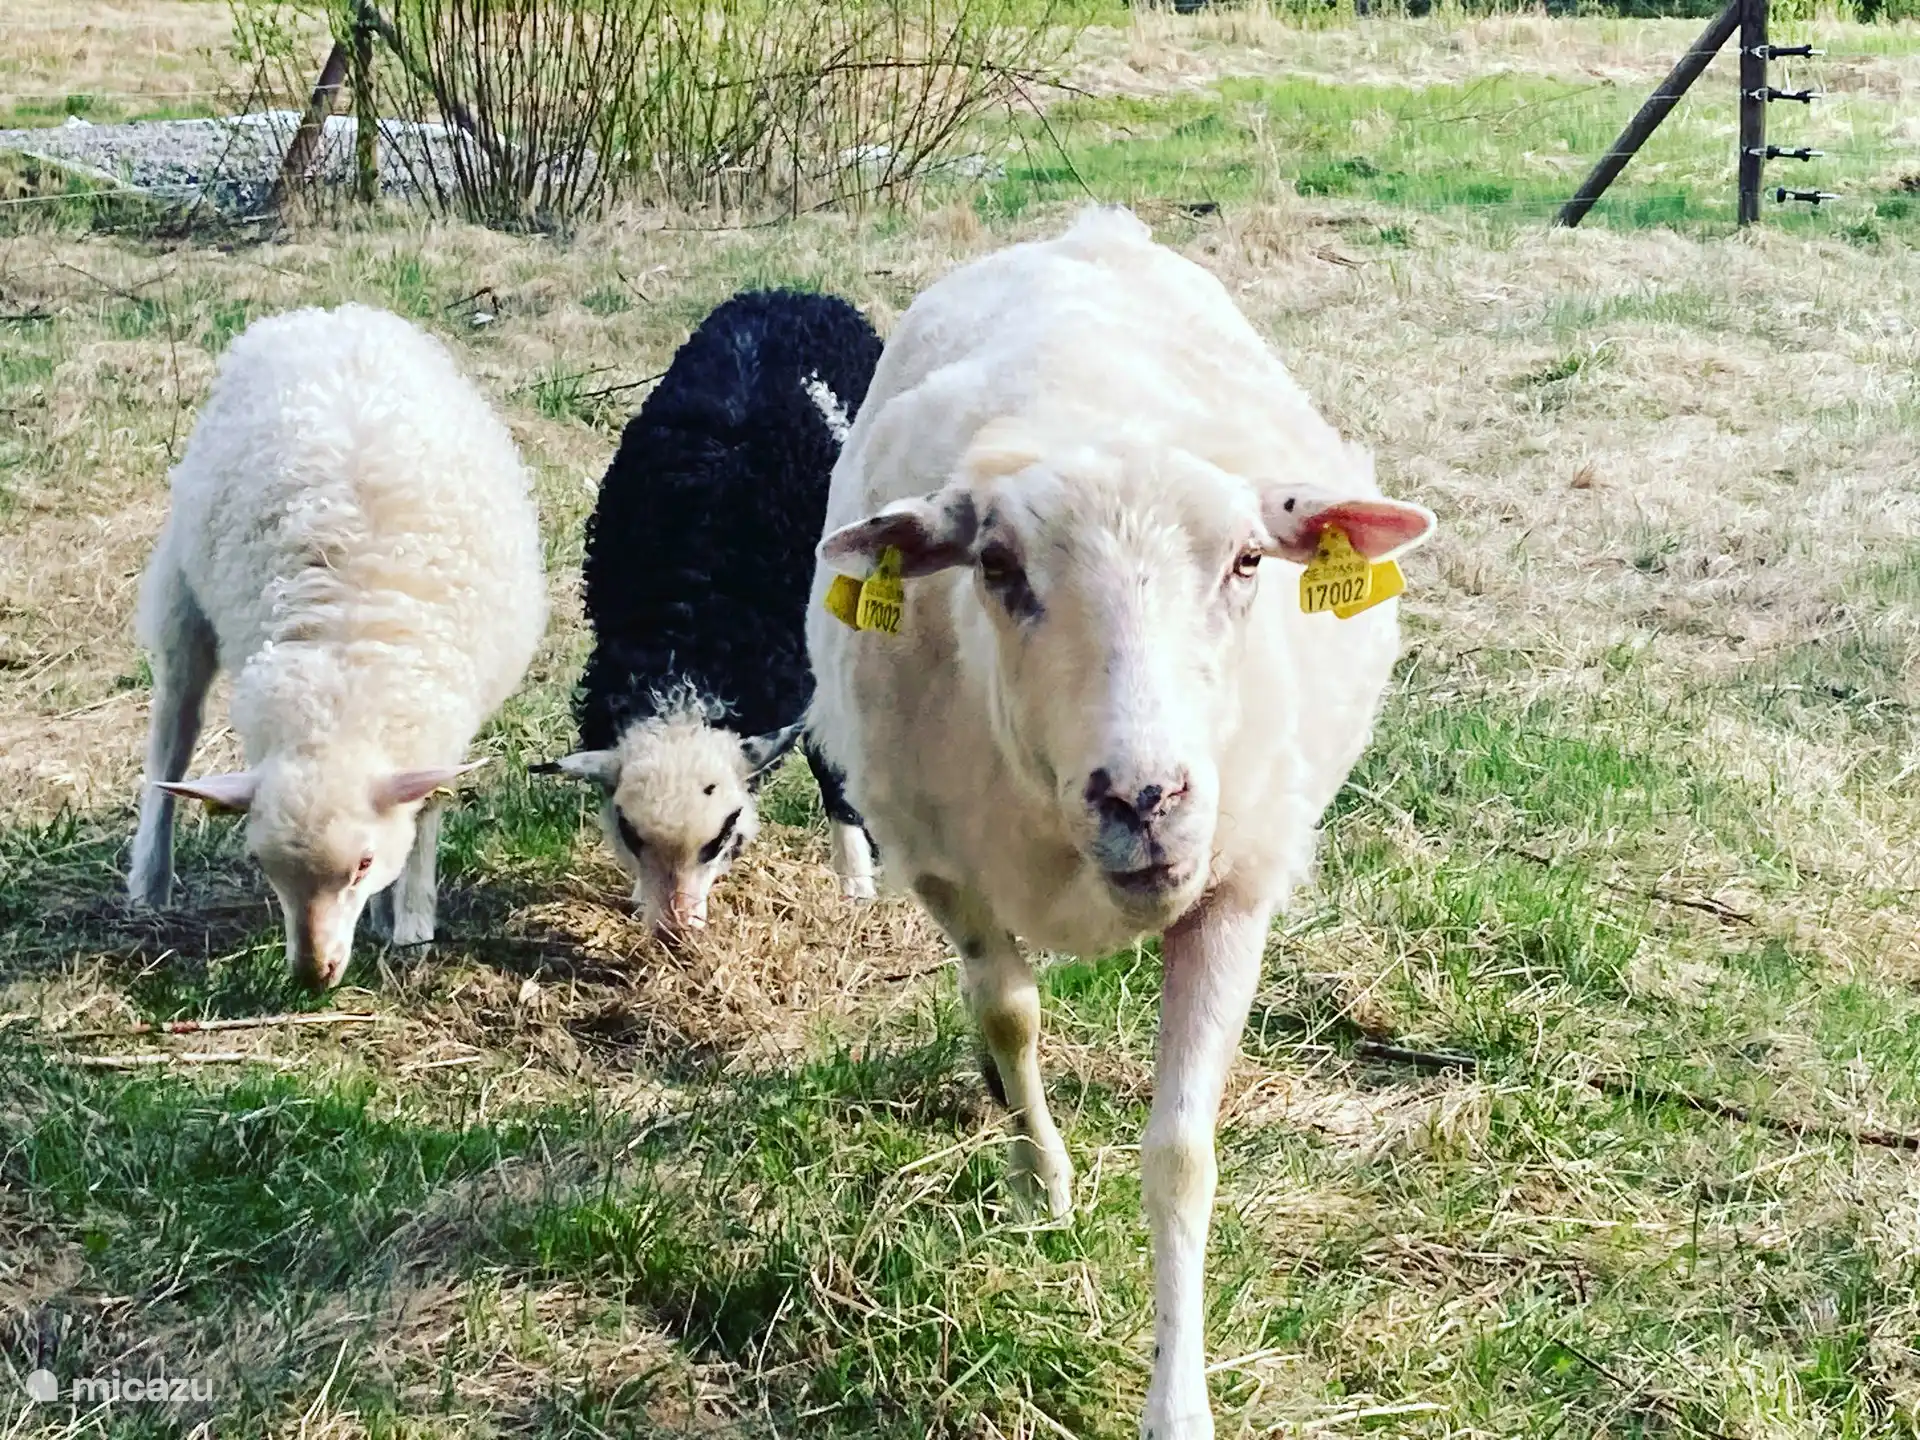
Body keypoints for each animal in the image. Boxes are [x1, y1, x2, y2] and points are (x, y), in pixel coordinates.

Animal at [127, 303, 547, 990]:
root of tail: (321, 316)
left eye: (363, 863)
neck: (343, 682)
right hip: (181, 599)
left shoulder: (437, 726)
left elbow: (424, 819)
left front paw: (408, 924)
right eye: (263, 865)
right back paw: (149, 879)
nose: (313, 973)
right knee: (173, 736)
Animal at [535, 288, 884, 934]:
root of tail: (787, 291)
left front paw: (856, 883)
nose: (675, 934)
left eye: (722, 838)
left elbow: (833, 765)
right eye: (629, 834)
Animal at [805, 206, 1435, 1440]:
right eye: (997, 567)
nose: (1143, 799)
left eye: (1248, 560)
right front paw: (1041, 1181)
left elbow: (1182, 1155)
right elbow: (1008, 1015)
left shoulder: (1235, 889)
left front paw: (1178, 1402)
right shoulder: (943, 866)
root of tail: (1092, 229)